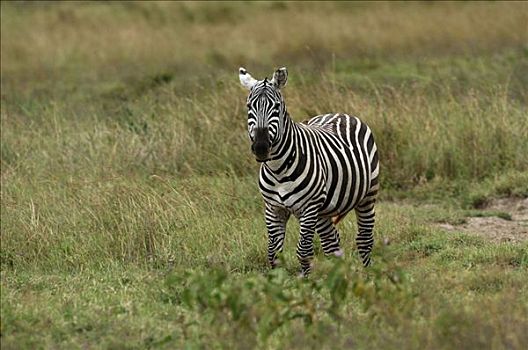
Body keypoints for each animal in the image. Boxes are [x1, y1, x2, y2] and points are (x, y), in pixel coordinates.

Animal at [239, 66, 380, 276]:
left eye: (277, 107)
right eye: (249, 107)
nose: (261, 147)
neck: (278, 170)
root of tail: (339, 113)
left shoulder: (309, 207)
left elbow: (303, 251)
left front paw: (306, 280)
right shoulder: (273, 208)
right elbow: (273, 253)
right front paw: (276, 281)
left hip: (367, 196)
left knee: (364, 239)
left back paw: (368, 275)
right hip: (323, 211)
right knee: (331, 243)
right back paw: (338, 276)